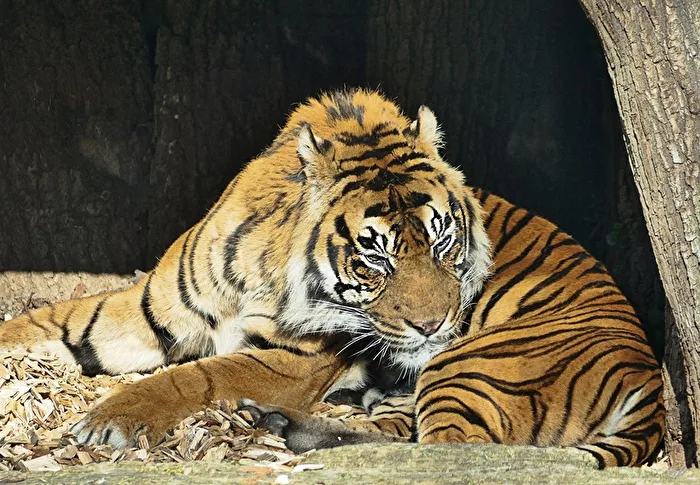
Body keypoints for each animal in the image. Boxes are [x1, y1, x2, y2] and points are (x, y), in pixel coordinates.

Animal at [0, 88, 492, 449]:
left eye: (442, 242)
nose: (431, 326)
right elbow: (45, 322)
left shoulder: (294, 360)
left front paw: (112, 418)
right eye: (375, 257)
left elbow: (200, 375)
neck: (262, 274)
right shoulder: (147, 307)